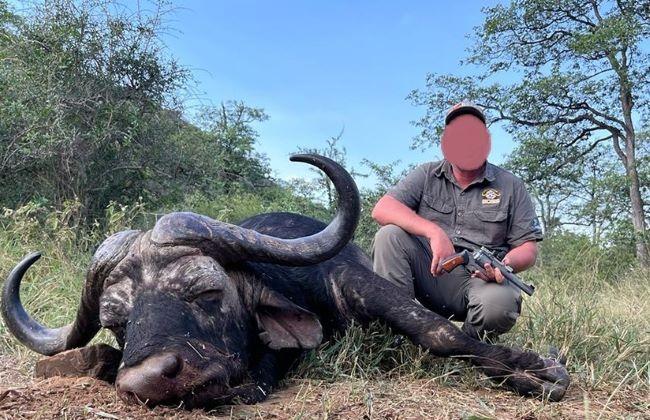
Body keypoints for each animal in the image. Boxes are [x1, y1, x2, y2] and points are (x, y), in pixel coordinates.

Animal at [1, 154, 569, 408]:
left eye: (207, 293)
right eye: (118, 322)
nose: (147, 380)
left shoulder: (356, 284)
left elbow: (440, 332)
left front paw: (536, 372)